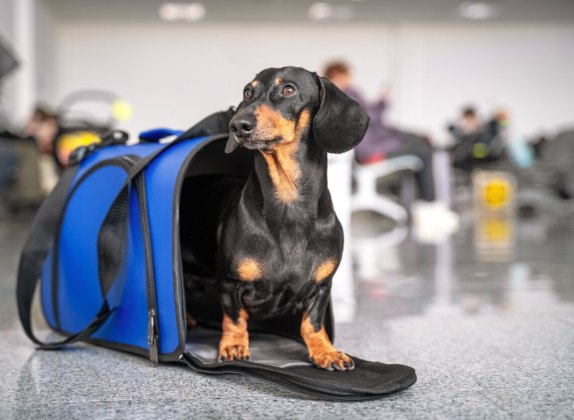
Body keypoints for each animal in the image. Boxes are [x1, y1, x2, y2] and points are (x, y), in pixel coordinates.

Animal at [186, 67, 374, 372]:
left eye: (288, 89)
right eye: (247, 92)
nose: (238, 125)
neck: (288, 204)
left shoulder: (322, 287)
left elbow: (312, 323)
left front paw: (325, 351)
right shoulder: (228, 282)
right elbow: (235, 318)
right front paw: (234, 345)